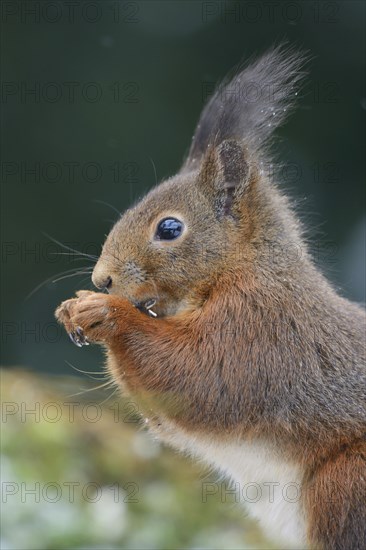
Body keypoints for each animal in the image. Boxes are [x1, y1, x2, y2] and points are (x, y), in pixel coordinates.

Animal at [55, 45, 366, 548]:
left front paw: (106, 312)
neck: (239, 269)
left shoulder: (261, 327)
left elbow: (200, 375)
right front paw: (73, 308)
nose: (102, 280)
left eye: (169, 228)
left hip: (347, 483)